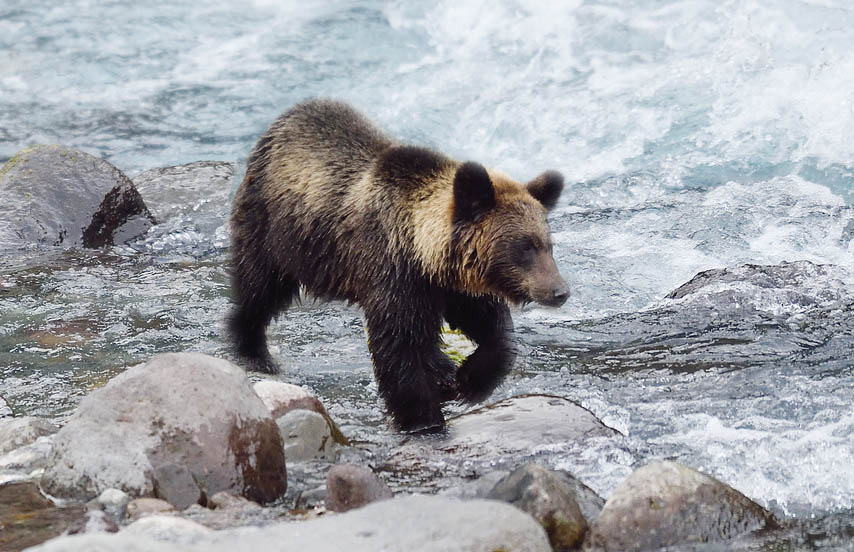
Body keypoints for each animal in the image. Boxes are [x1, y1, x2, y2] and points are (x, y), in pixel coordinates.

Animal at [228, 99, 568, 432]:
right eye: (524, 246)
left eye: (548, 244)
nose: (560, 291)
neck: (421, 249)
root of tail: (283, 120)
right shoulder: (392, 272)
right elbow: (399, 347)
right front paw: (423, 419)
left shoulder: (448, 286)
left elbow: (488, 322)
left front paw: (469, 380)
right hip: (275, 229)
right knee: (259, 288)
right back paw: (254, 352)